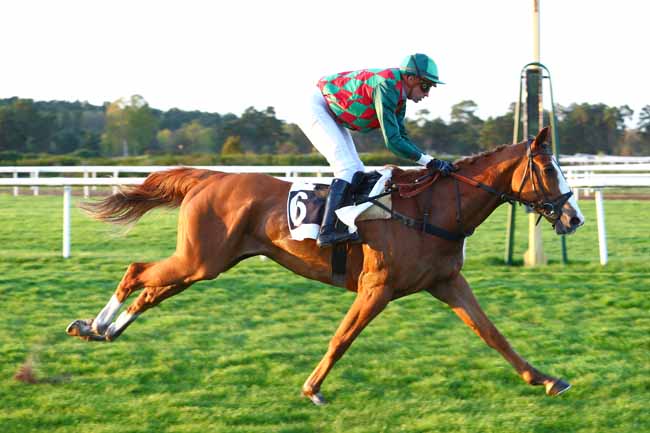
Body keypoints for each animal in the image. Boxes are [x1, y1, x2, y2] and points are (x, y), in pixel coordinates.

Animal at [66, 127, 584, 405]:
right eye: (548, 169)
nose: (574, 217)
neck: (431, 210)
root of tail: (208, 177)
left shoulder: (446, 282)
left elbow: (493, 334)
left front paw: (546, 379)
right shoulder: (376, 287)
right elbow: (342, 338)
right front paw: (312, 387)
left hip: (205, 263)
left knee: (153, 290)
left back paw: (104, 330)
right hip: (201, 259)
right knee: (137, 271)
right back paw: (91, 324)